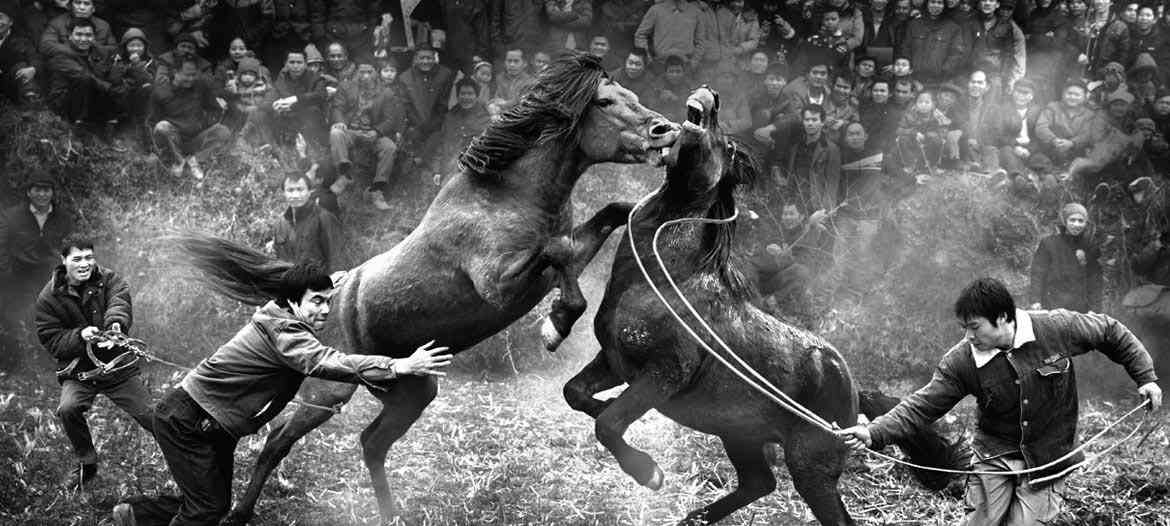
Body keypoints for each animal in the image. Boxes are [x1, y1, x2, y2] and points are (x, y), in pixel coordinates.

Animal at [177, 52, 680, 525]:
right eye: (605, 102)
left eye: (634, 94)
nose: (666, 131)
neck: (509, 195)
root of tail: (327, 294)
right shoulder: (499, 283)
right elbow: (556, 254)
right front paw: (554, 328)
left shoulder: (564, 257)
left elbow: (612, 214)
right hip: (327, 391)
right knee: (278, 439)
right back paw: (240, 512)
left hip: (412, 391)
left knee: (372, 442)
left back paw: (389, 513)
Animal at [563, 88, 965, 525]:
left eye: (725, 145)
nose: (712, 96)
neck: (665, 279)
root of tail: (853, 389)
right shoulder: (613, 360)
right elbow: (576, 394)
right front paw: (606, 408)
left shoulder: (664, 373)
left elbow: (608, 424)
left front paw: (648, 473)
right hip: (739, 433)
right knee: (759, 482)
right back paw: (694, 519)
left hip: (810, 463)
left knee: (824, 510)